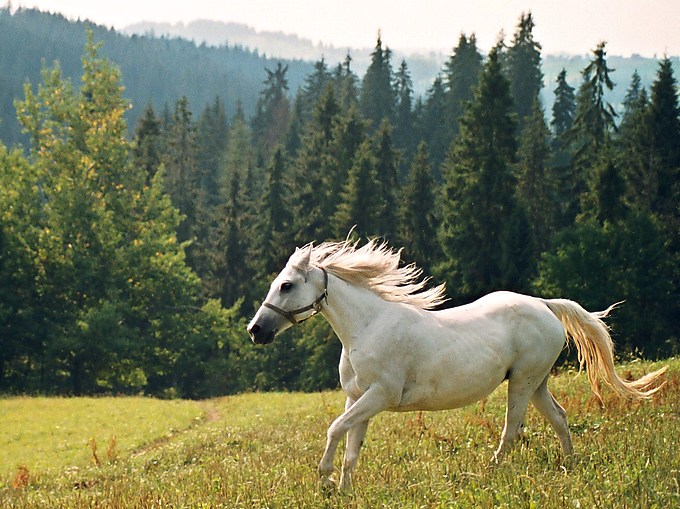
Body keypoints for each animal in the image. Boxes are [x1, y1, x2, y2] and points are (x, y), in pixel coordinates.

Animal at [247, 240, 668, 490]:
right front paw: (343, 489)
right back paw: (569, 466)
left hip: (522, 382)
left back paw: (490, 472)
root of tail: (544, 304)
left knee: (511, 430)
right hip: (536, 383)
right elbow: (352, 445)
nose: (255, 331)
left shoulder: (379, 396)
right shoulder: (357, 399)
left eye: (286, 285)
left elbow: (335, 429)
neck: (366, 327)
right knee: (560, 418)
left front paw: (324, 482)